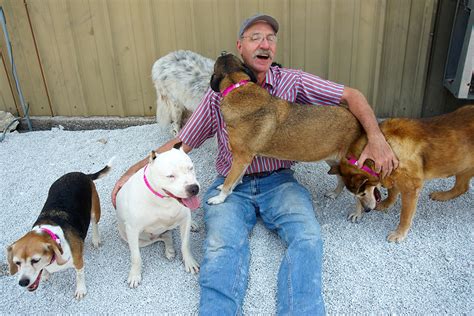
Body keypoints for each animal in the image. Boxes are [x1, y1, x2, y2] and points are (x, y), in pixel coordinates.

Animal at [6, 160, 112, 298]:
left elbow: (79, 275)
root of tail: (82, 174)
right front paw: (45, 274)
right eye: (17, 263)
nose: (23, 282)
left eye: (35, 260)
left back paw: (95, 239)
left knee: (94, 223)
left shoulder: (78, 262)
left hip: (95, 209)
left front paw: (80, 290)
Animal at [118, 142, 202, 288]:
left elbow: (185, 244)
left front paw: (189, 262)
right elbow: (136, 257)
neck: (164, 200)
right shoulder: (133, 230)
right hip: (136, 239)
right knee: (163, 236)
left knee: (167, 234)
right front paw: (135, 274)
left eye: (191, 168)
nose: (193, 188)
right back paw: (169, 249)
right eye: (170, 176)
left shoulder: (184, 220)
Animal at [330, 105, 474, 242]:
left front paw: (399, 233)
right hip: (463, 166)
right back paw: (443, 196)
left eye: (363, 193)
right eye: (357, 195)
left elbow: (404, 216)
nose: (367, 210)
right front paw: (386, 204)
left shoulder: (411, 188)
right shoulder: (392, 175)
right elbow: (392, 193)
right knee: (462, 187)